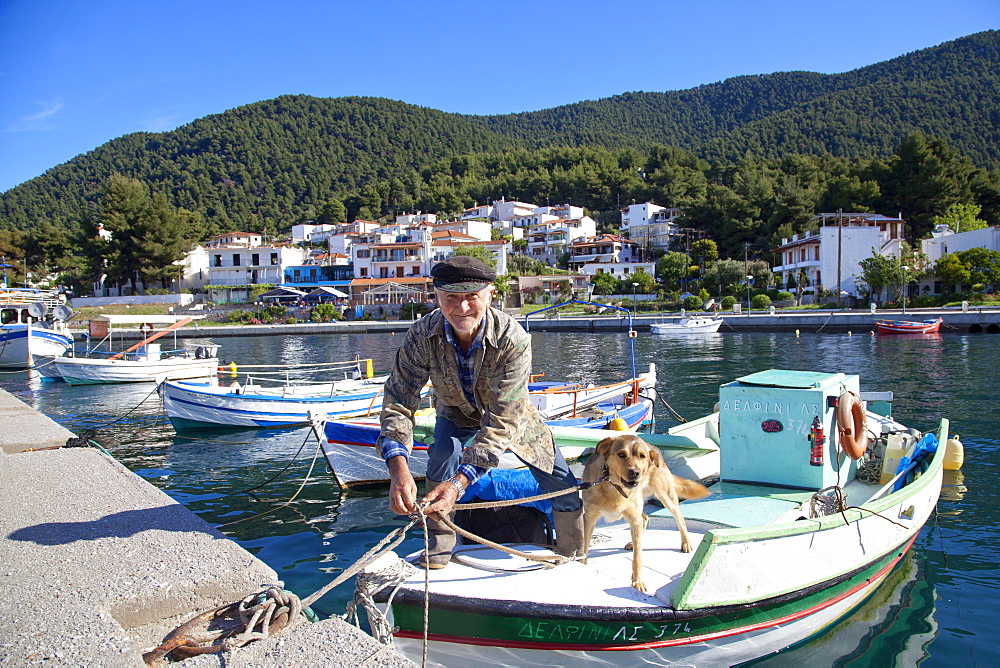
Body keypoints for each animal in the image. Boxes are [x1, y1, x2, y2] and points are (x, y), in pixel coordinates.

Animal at [580, 436, 712, 592]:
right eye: (621, 454)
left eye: (642, 456)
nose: (635, 473)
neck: (614, 487)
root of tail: (653, 448)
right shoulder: (589, 518)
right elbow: (584, 548)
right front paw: (581, 565)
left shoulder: (633, 517)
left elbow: (638, 557)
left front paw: (637, 582)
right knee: (645, 518)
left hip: (665, 496)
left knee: (679, 517)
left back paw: (686, 542)